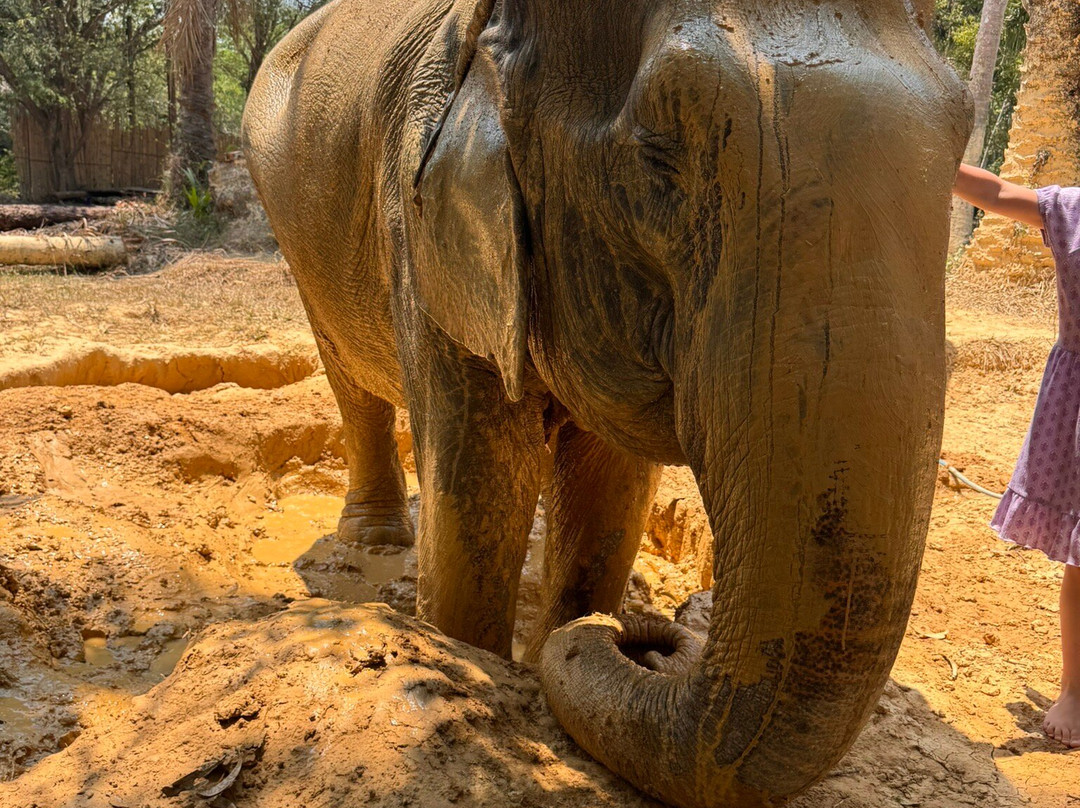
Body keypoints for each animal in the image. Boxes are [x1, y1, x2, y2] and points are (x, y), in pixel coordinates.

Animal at [242, 0, 971, 805]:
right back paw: (376, 540)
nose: (636, 636)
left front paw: (563, 630)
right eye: (658, 157)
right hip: (292, 229)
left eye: (961, 148)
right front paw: (474, 657)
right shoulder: (422, 226)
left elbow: (609, 486)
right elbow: (477, 479)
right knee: (349, 379)